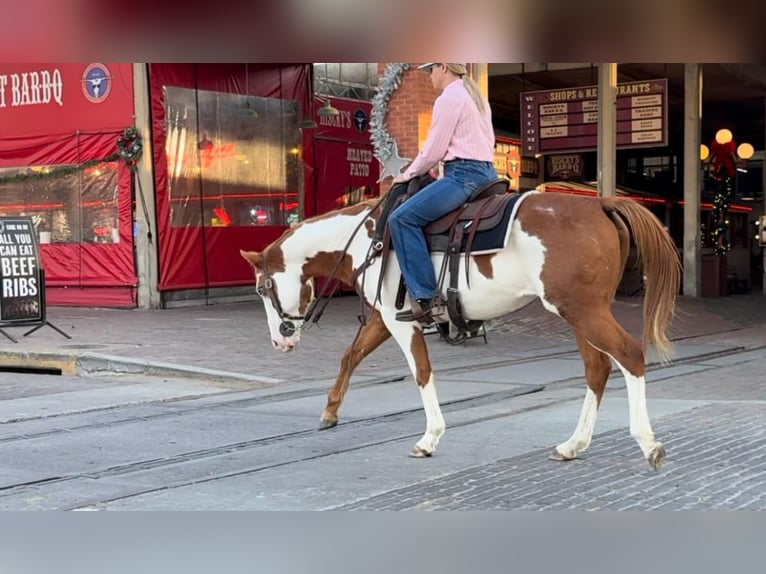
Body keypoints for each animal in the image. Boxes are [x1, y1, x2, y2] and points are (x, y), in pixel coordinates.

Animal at [242, 191, 684, 470]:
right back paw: (573, 445)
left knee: (629, 355)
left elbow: (421, 373)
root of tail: (600, 203)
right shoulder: (384, 318)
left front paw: (429, 438)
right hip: (579, 313)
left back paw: (648, 443)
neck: (369, 240)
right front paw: (330, 411)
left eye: (262, 288)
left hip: (583, 311)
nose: (280, 339)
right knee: (598, 369)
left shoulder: (398, 321)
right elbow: (351, 355)